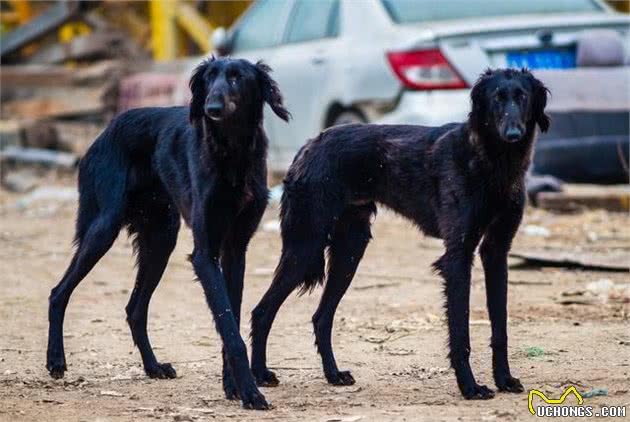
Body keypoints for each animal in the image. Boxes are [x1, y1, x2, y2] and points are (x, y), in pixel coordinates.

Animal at [47, 56, 292, 408]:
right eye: (208, 78)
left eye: (237, 77)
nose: (211, 108)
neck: (232, 153)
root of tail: (105, 130)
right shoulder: (205, 253)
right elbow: (229, 328)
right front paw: (249, 392)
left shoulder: (235, 249)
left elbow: (229, 318)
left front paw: (232, 386)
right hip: (104, 228)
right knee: (59, 292)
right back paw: (55, 361)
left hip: (161, 239)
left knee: (135, 309)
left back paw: (153, 367)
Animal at [251, 68, 548, 398]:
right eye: (497, 98)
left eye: (522, 96)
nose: (513, 133)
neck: (494, 161)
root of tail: (308, 145)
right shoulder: (458, 255)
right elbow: (460, 331)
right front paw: (470, 386)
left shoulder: (496, 251)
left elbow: (500, 327)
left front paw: (504, 379)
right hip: (306, 246)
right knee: (262, 311)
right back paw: (260, 375)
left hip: (349, 251)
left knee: (321, 317)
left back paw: (333, 374)